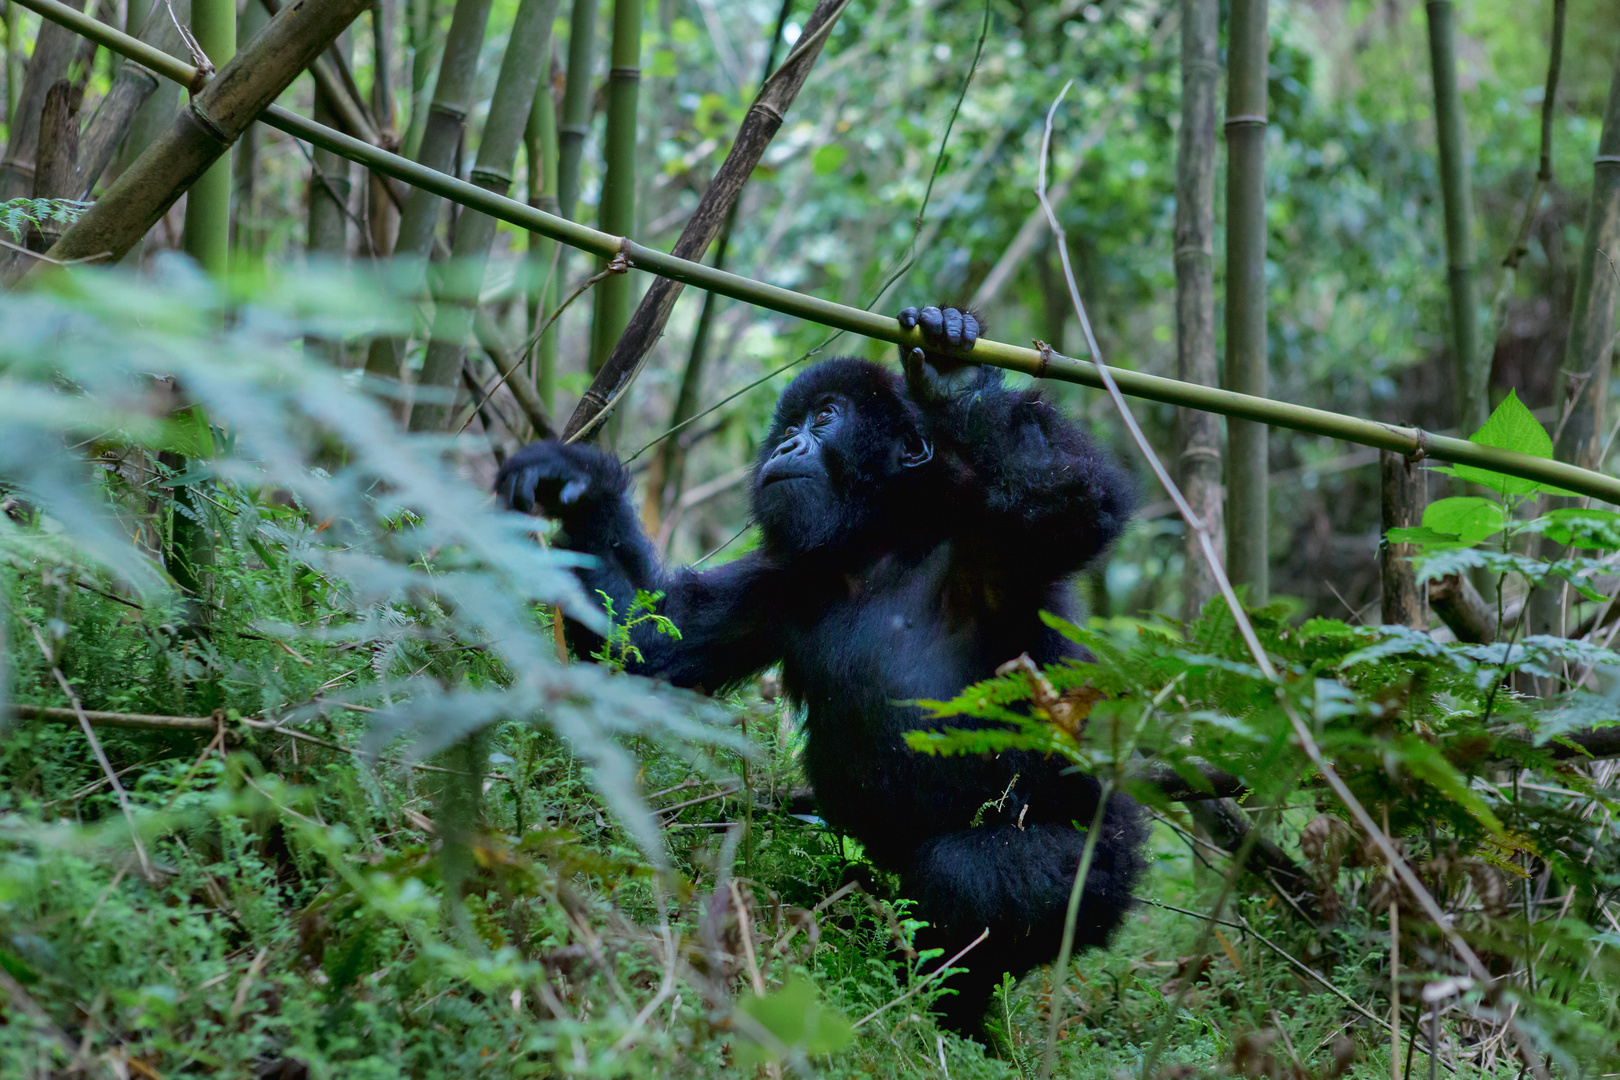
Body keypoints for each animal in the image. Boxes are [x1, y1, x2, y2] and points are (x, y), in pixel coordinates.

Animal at [498, 304, 1146, 1036]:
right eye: (789, 426)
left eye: (826, 418)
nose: (784, 448)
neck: (879, 546)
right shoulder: (784, 579)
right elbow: (650, 638)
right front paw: (573, 485)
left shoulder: (987, 541)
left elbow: (1070, 500)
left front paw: (955, 382)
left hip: (1109, 863)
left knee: (970, 875)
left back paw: (946, 1015)